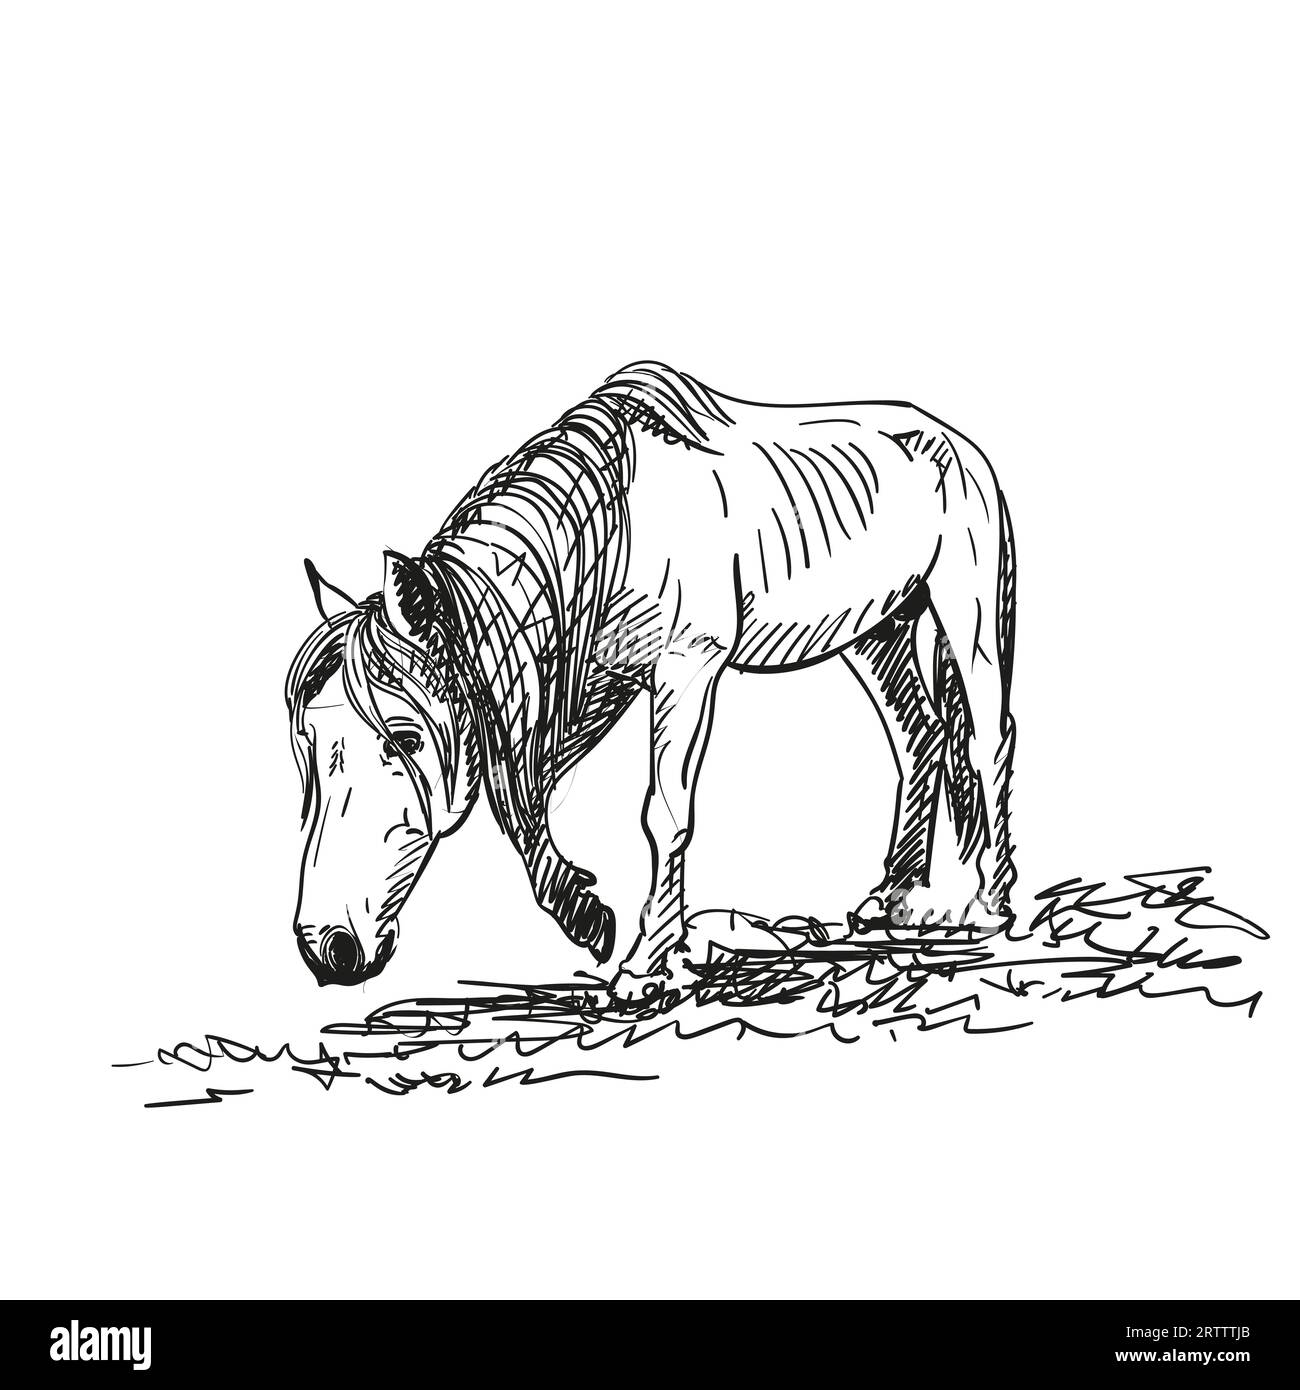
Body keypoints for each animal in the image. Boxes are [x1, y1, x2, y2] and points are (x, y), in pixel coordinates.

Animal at [285, 362, 1017, 1008]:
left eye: (406, 740)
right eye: (308, 744)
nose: (328, 948)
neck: (618, 527)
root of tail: (954, 440)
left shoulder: (686, 668)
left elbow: (662, 811)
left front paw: (644, 968)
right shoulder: (599, 679)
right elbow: (538, 797)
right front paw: (592, 917)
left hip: (969, 609)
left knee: (986, 740)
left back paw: (989, 906)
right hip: (878, 628)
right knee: (919, 739)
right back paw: (893, 900)